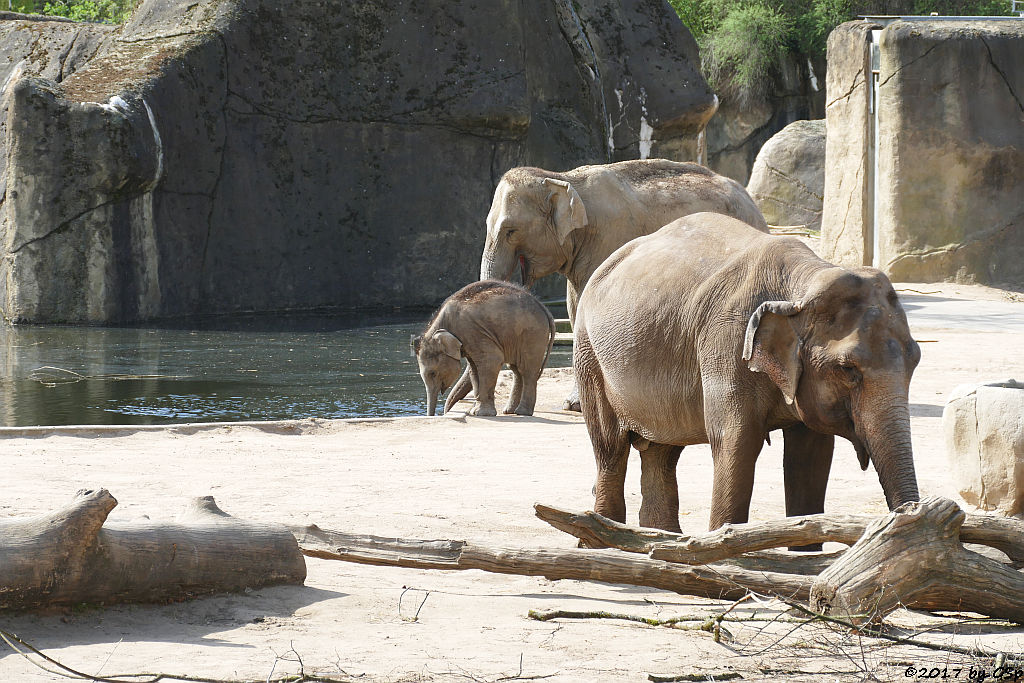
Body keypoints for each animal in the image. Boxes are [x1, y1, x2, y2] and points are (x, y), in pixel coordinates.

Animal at [411, 280, 557, 419]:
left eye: (432, 373)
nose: (434, 416)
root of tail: (544, 308)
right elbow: (474, 369)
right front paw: (476, 411)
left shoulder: (472, 331)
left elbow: (491, 361)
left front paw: (482, 414)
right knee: (516, 370)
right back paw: (510, 411)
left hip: (532, 335)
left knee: (527, 370)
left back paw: (522, 412)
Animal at [471, 157, 770, 409]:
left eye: (511, 231)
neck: (562, 178)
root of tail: (751, 199)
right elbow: (575, 305)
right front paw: (574, 404)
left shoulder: (609, 238)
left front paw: (581, 404)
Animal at [577, 214, 921, 540]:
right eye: (848, 369)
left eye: (916, 359)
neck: (802, 285)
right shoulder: (727, 345)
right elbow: (737, 442)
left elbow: (810, 457)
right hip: (589, 355)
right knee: (610, 448)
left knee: (662, 452)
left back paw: (658, 542)